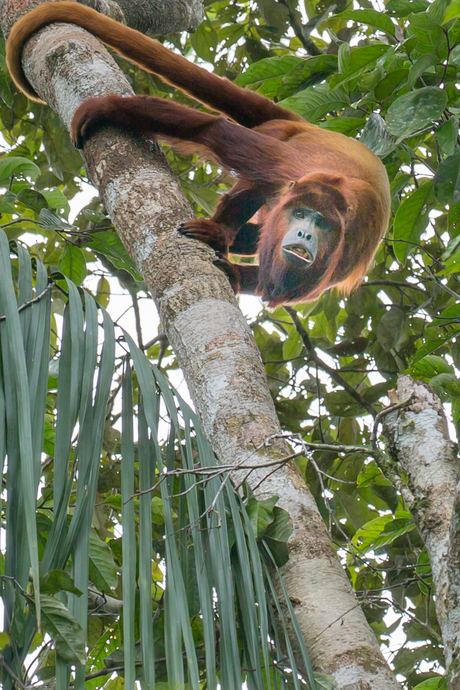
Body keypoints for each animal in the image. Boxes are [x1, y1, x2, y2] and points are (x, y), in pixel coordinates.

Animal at [5, 1, 390, 306]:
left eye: (321, 223)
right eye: (301, 214)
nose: (306, 234)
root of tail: (313, 127)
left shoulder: (347, 253)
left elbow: (277, 289)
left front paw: (235, 274)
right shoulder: (289, 167)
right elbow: (215, 131)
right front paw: (108, 108)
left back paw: (231, 241)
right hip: (282, 138)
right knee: (255, 181)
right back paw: (221, 232)